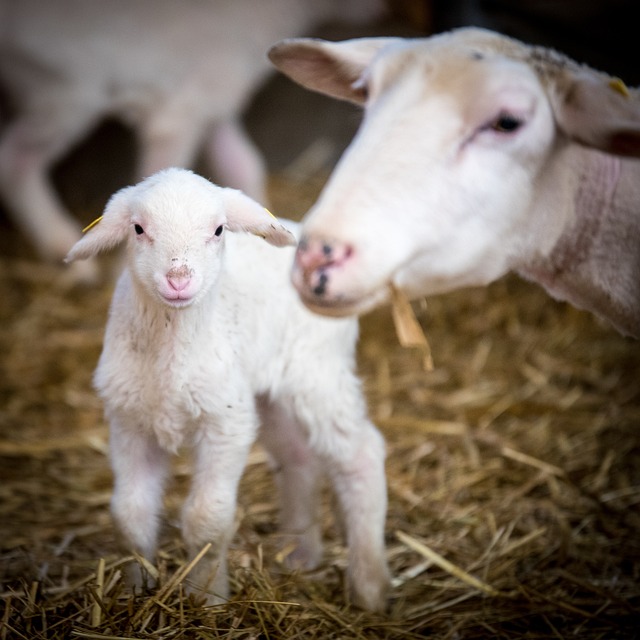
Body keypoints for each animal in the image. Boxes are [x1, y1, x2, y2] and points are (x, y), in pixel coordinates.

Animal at [0, 0, 382, 282]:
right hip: (64, 92)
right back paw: (63, 247)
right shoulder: (179, 111)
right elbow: (161, 173)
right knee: (15, 159)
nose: (377, 8)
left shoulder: (213, 100)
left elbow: (241, 163)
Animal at [65, 168, 388, 612]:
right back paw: (300, 554)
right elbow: (129, 516)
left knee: (362, 453)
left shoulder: (225, 422)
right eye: (138, 228)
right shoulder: (128, 421)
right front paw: (134, 592)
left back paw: (369, 587)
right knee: (298, 457)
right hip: (269, 394)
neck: (171, 355)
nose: (179, 279)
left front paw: (207, 598)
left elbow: (207, 519)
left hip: (317, 372)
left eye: (218, 230)